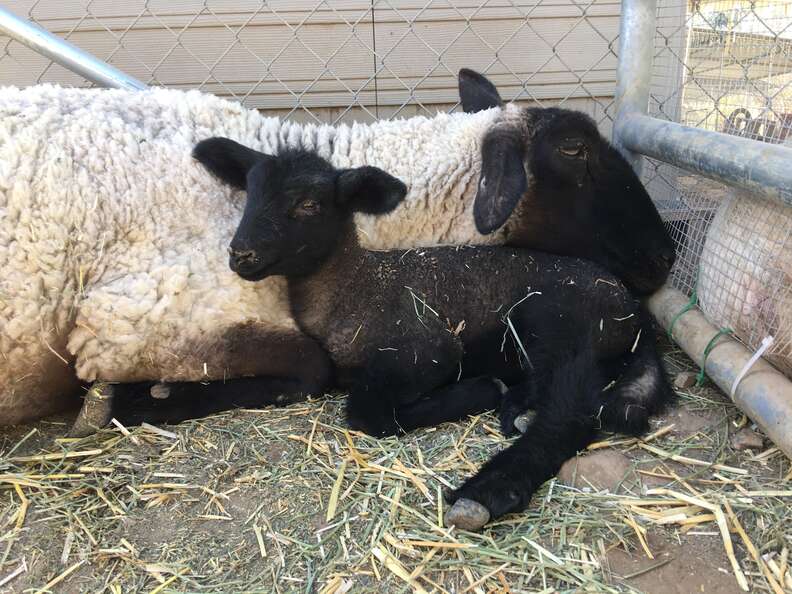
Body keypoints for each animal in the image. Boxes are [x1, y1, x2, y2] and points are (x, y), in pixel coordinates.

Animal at [147, 142, 673, 530]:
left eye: (308, 204)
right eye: (249, 195)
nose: (241, 256)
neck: (353, 288)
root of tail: (633, 313)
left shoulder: (427, 348)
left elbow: (367, 413)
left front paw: (475, 391)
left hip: (557, 322)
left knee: (571, 413)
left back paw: (486, 491)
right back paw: (516, 408)